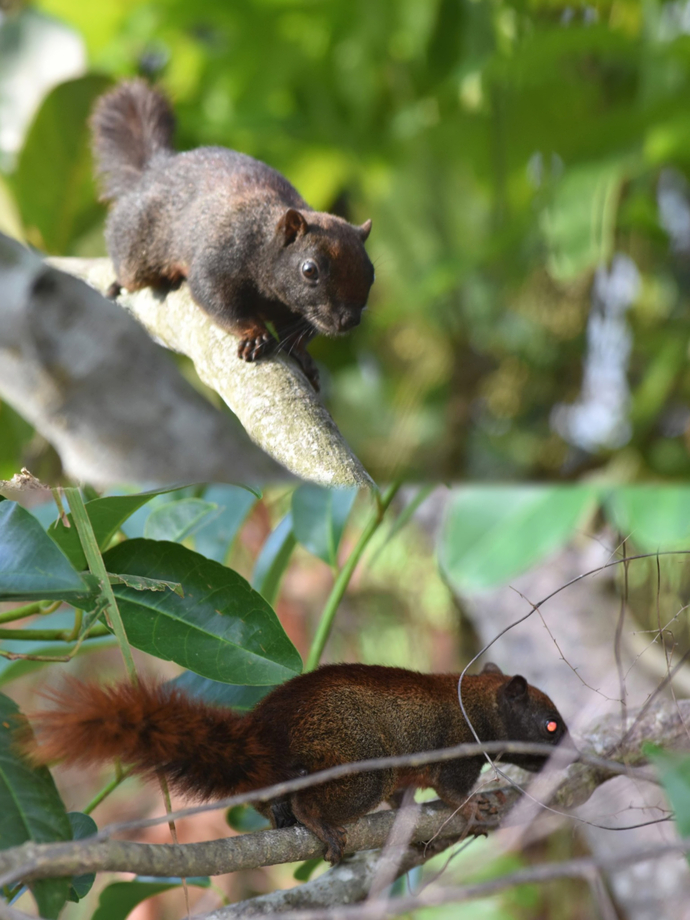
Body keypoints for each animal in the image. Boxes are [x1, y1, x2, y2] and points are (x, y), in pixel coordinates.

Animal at [24, 660, 568, 864]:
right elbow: (453, 791)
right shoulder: (457, 752)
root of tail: (268, 739)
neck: (478, 704)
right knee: (317, 802)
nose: (570, 751)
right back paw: (319, 821)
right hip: (362, 766)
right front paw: (473, 807)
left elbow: (405, 797)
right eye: (550, 726)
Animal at [90, 80, 374, 392]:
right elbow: (216, 298)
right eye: (309, 270)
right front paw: (254, 333)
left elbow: (299, 335)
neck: (264, 239)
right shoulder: (223, 254)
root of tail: (153, 170)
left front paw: (302, 355)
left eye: (371, 272)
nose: (348, 319)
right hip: (135, 245)